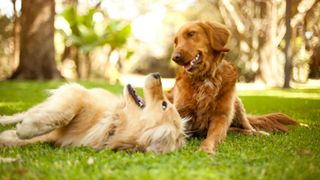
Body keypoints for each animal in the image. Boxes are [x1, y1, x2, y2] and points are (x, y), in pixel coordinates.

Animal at [0, 73, 186, 153]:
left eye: (164, 105)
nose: (157, 74)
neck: (114, 124)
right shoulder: (77, 94)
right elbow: (64, 115)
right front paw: (26, 130)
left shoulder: (56, 138)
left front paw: (12, 136)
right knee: (23, 114)